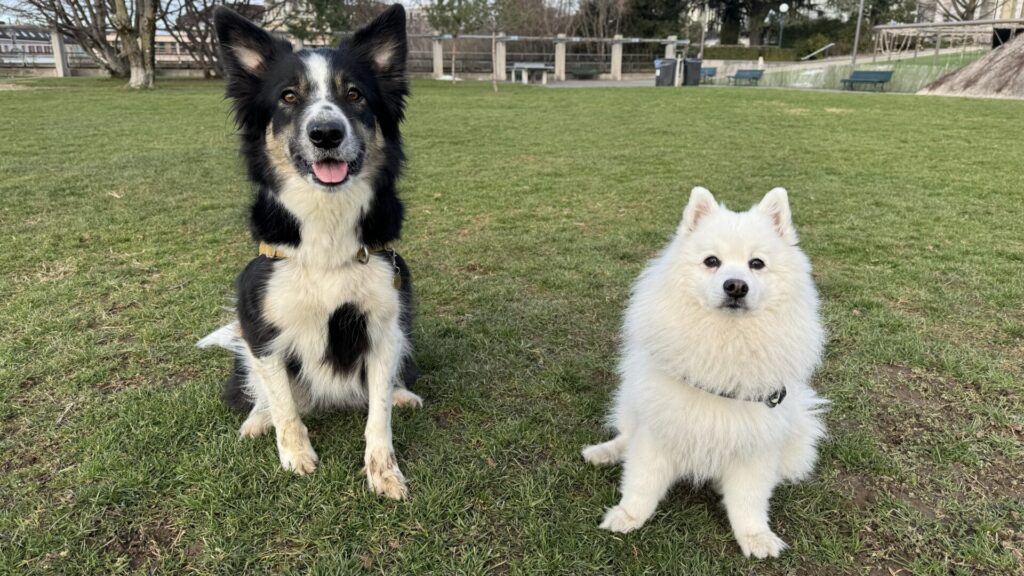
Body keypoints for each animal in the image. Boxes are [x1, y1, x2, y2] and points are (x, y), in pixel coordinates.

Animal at [197, 4, 421, 498]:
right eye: (287, 97)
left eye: (355, 94)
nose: (326, 133)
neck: (326, 227)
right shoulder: (262, 325)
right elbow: (283, 404)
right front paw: (295, 454)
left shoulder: (384, 323)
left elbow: (378, 413)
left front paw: (384, 471)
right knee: (261, 389)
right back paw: (256, 421)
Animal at [581, 184, 827, 557]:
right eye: (712, 261)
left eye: (757, 264)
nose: (736, 285)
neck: (725, 343)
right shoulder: (658, 429)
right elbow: (642, 481)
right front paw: (628, 516)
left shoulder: (756, 445)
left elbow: (749, 500)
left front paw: (755, 537)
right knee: (626, 437)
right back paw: (602, 453)